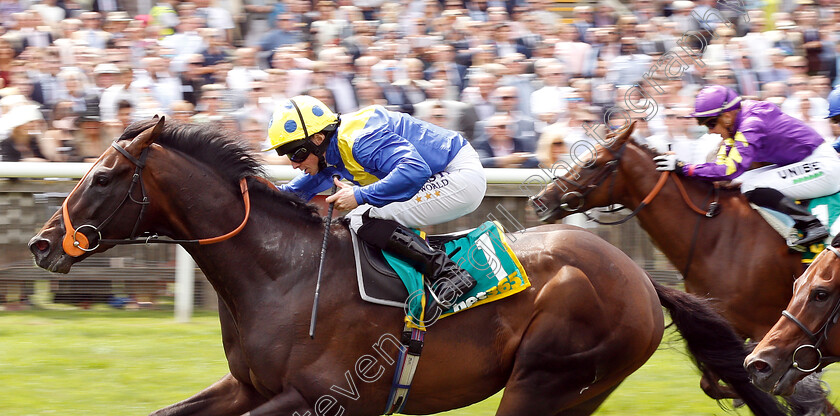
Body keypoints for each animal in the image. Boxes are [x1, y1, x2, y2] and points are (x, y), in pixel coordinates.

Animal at [27, 116, 788, 416]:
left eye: (103, 176)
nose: (39, 244)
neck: (279, 275)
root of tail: (641, 279)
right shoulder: (245, 387)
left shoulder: (324, 398)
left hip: (548, 378)